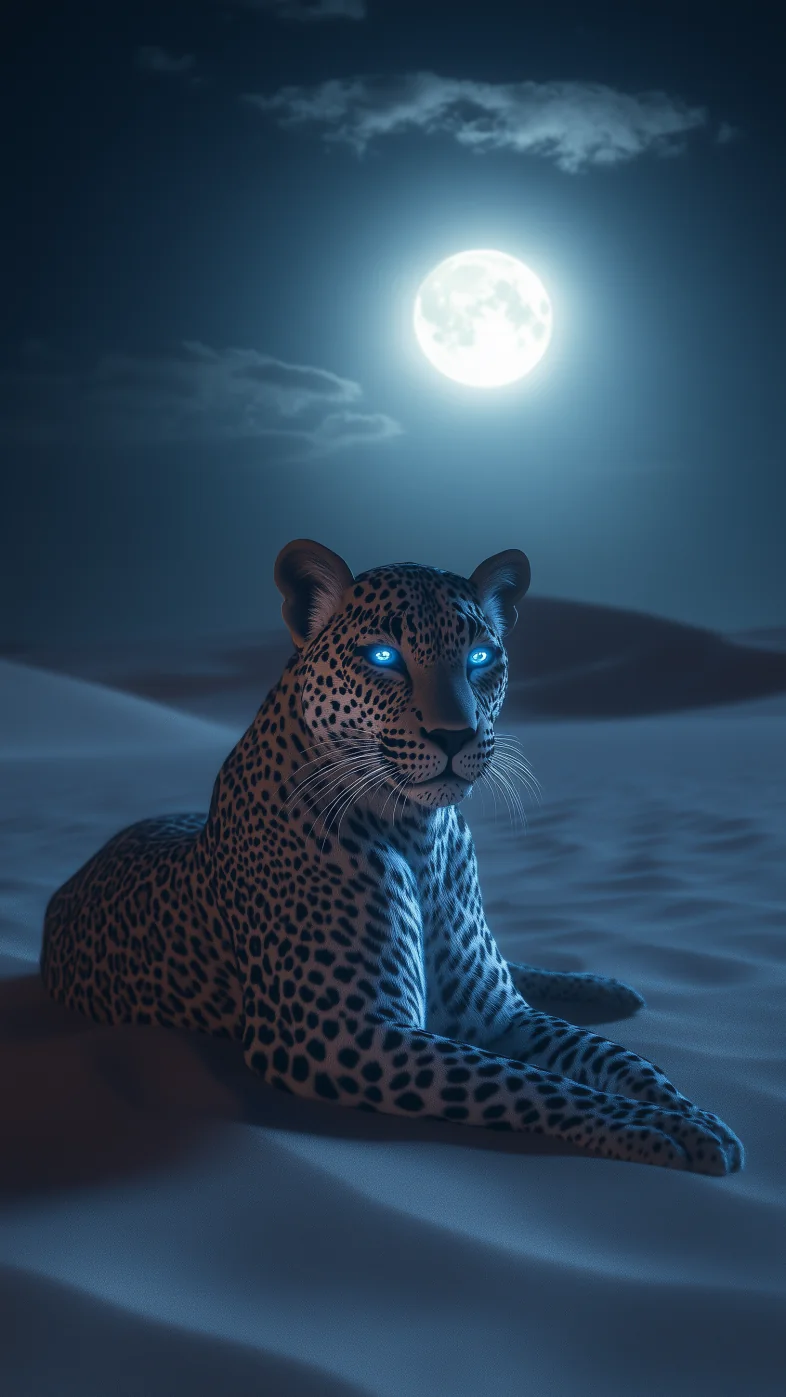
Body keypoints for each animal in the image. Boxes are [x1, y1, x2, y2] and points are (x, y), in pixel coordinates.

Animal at [41, 538, 744, 1174]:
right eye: (384, 657)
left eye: (481, 657)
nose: (454, 736)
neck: (417, 832)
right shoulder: (342, 1034)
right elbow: (525, 1083)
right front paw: (659, 1129)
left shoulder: (499, 1015)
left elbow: (614, 1057)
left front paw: (694, 1116)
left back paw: (609, 987)